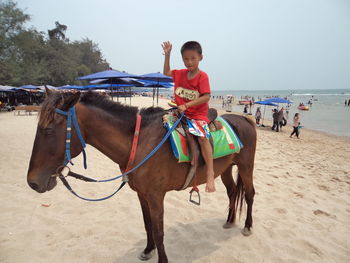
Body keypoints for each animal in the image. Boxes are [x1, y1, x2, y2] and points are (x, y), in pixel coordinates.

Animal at [27, 89, 256, 263]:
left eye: (48, 130)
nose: (33, 182)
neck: (140, 142)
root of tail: (245, 119)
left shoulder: (156, 196)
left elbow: (159, 230)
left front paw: (162, 259)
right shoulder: (142, 194)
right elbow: (148, 225)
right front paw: (147, 250)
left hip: (246, 167)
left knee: (249, 194)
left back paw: (247, 226)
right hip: (226, 169)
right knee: (232, 192)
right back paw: (230, 220)